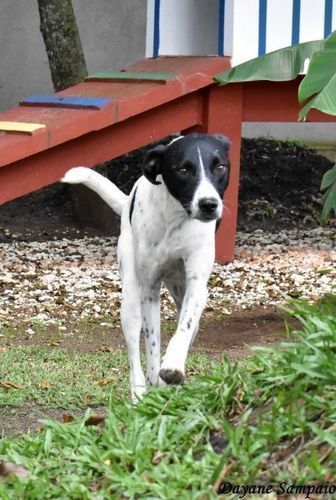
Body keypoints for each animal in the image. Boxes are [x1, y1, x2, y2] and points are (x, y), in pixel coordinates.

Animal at [61, 132, 230, 398]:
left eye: (220, 167)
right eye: (183, 170)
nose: (208, 204)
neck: (176, 219)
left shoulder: (196, 284)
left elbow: (183, 329)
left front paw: (173, 366)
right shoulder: (149, 290)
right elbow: (151, 346)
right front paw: (155, 378)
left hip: (182, 290)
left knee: (189, 325)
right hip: (131, 299)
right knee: (134, 354)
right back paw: (139, 393)